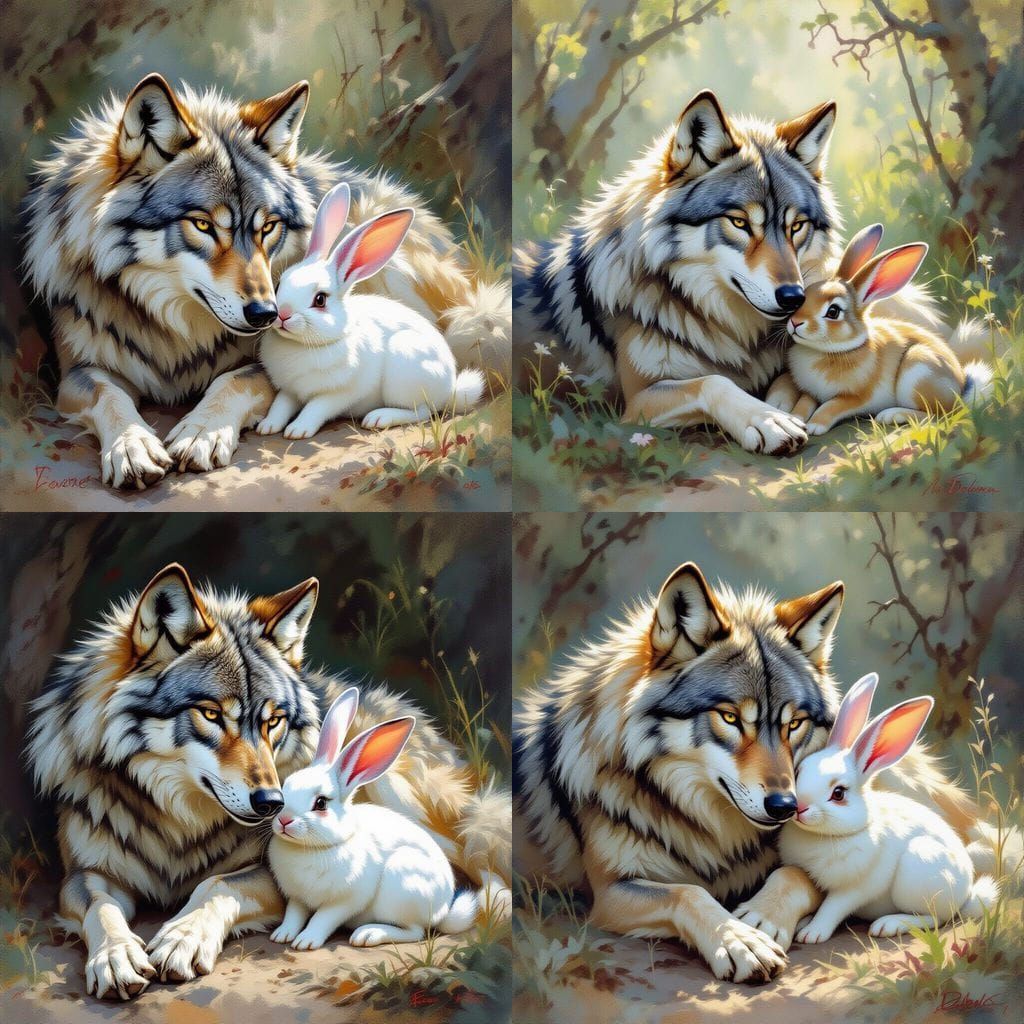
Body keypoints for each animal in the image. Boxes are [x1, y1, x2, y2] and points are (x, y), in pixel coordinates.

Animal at [256, 182, 485, 439]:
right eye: (278, 284)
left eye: (320, 300)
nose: (282, 315)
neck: (303, 345)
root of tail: (450, 388)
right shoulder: (290, 389)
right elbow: (280, 405)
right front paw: (267, 426)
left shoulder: (338, 394)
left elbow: (315, 409)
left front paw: (297, 430)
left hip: (405, 372)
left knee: (424, 411)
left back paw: (379, 417)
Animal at [268, 688, 479, 950]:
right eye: (286, 786)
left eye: (321, 803)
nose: (284, 820)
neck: (313, 848)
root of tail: (442, 910)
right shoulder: (297, 898)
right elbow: (294, 915)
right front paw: (282, 935)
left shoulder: (346, 900)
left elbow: (322, 919)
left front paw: (306, 942)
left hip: (402, 887)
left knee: (416, 932)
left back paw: (368, 934)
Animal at [514, 90, 954, 455]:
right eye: (740, 223)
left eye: (796, 226)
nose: (793, 298)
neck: (727, 326)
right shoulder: (636, 401)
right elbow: (712, 381)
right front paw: (768, 421)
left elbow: (786, 380)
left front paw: (784, 405)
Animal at [766, 223, 992, 435]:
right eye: (806, 295)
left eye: (833, 311)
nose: (795, 322)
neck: (827, 351)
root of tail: (960, 389)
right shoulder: (811, 392)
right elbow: (805, 402)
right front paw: (797, 418)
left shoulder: (858, 397)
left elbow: (832, 405)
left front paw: (815, 426)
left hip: (918, 370)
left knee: (940, 415)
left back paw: (892, 415)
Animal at [778, 673, 997, 944]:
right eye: (799, 771)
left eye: (838, 794)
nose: (799, 807)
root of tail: (965, 895)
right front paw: (805, 922)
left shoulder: (855, 888)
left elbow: (832, 908)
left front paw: (811, 933)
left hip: (919, 872)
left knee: (936, 919)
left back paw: (889, 925)